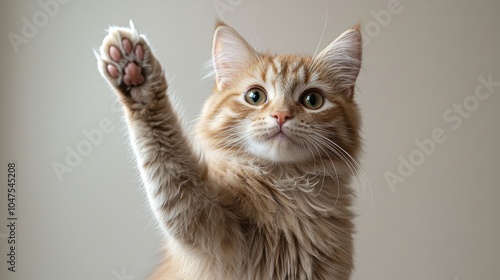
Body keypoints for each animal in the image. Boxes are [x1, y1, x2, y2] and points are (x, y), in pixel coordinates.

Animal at [96, 20, 364, 280]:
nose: (281, 115)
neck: (286, 187)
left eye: (312, 100)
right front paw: (135, 75)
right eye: (255, 96)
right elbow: (167, 152)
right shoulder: (201, 215)